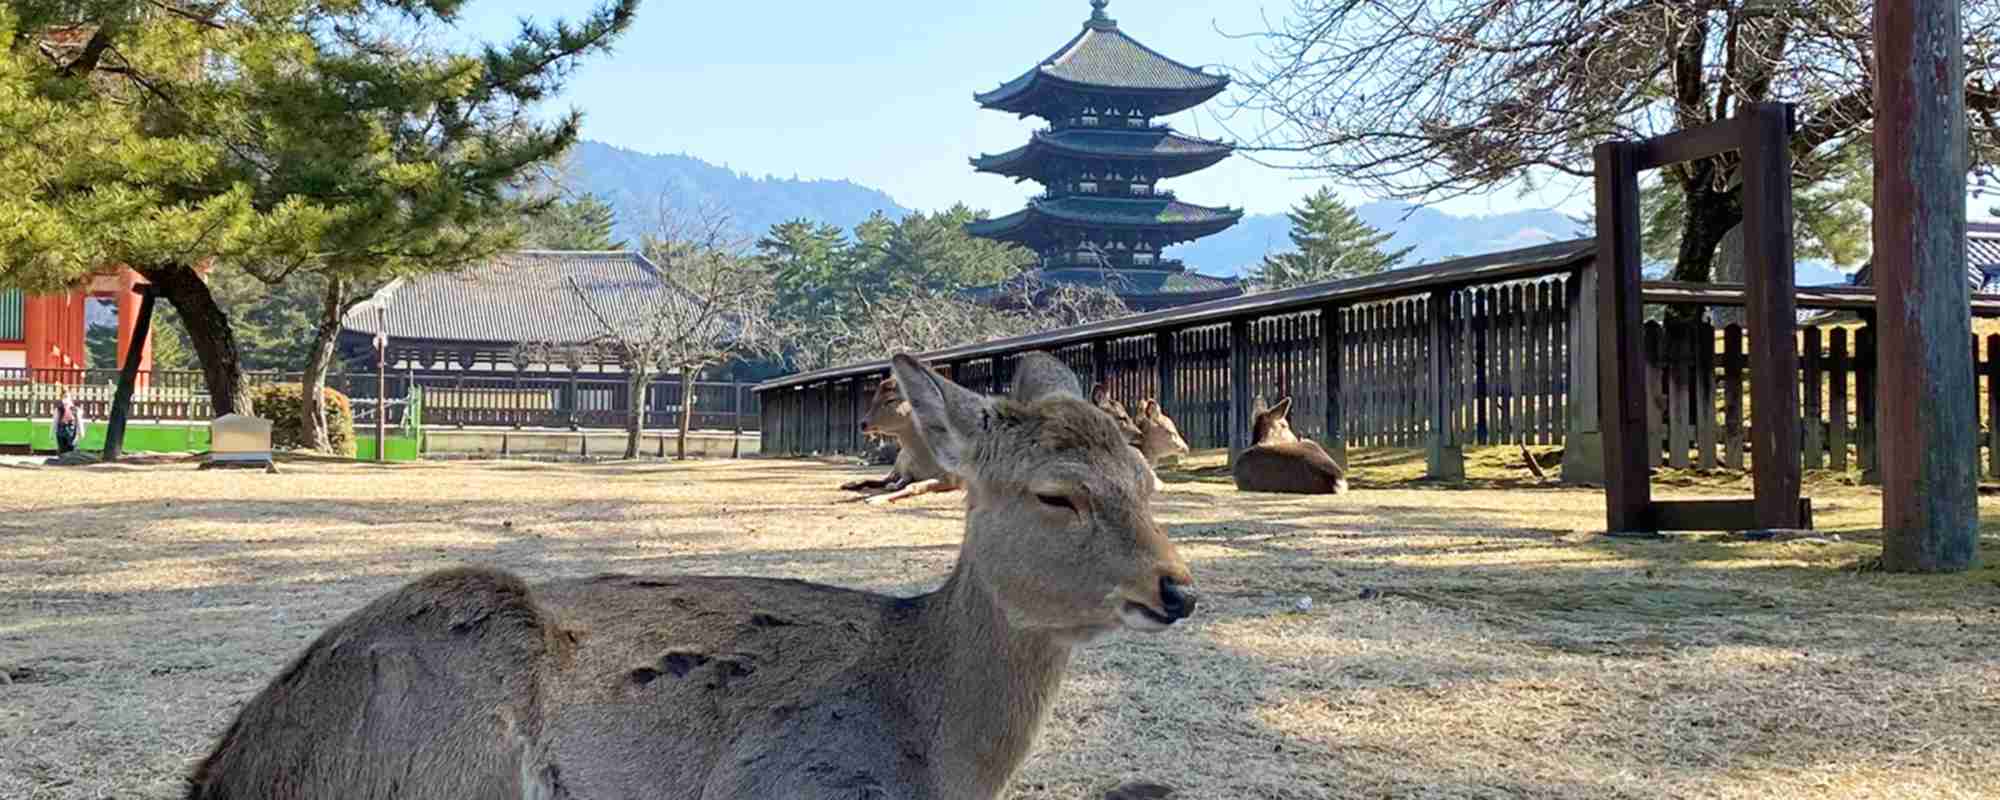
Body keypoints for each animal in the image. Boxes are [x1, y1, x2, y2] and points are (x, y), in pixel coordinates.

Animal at [840, 372, 964, 504]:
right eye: (874, 398)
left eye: (890, 400)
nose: (863, 423)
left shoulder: (952, 478)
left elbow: (913, 486)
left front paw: (875, 499)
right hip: (898, 463)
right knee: (883, 479)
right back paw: (849, 484)